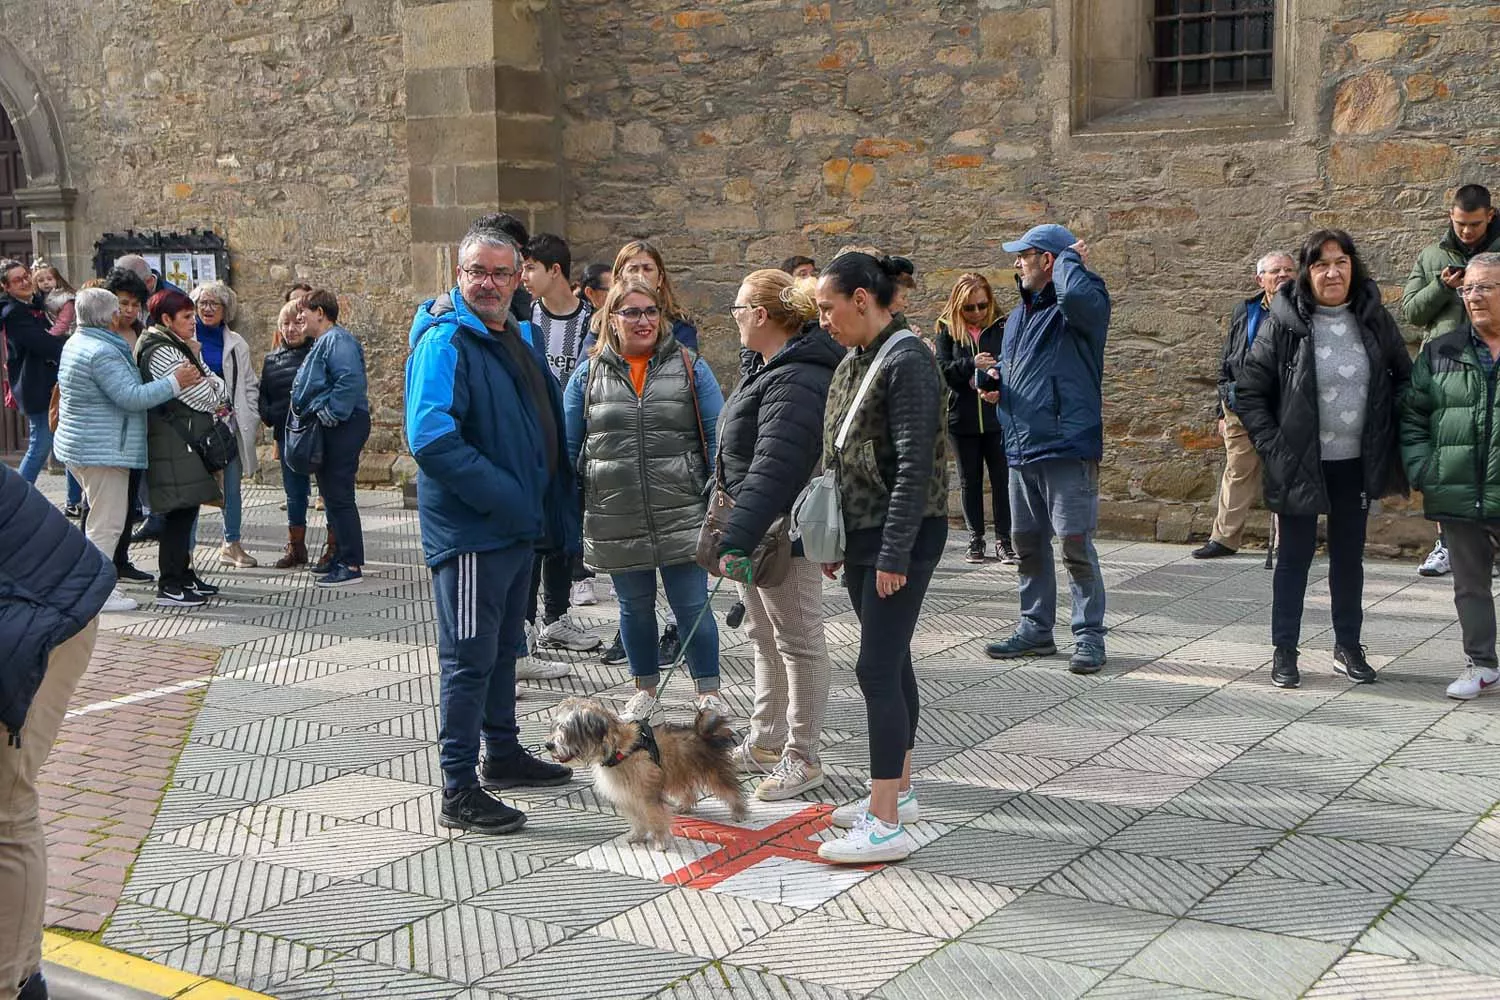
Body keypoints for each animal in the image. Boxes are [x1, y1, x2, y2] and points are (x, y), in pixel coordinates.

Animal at [546, 695, 744, 851]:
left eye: (568, 731)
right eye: (557, 727)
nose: (549, 745)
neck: (620, 751)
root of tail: (701, 733)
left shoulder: (648, 797)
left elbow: (655, 818)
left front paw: (660, 841)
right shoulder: (627, 796)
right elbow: (638, 819)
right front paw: (638, 835)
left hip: (714, 773)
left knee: (731, 790)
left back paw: (739, 811)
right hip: (679, 771)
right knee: (688, 789)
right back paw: (685, 806)